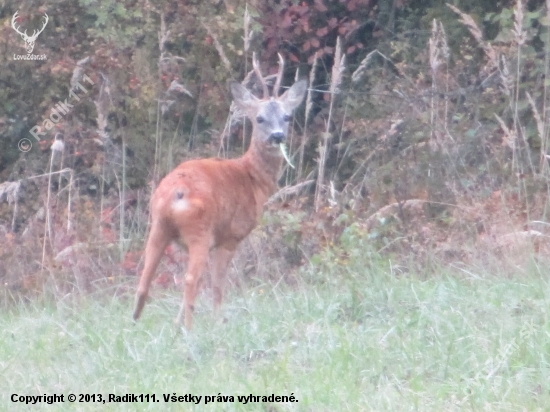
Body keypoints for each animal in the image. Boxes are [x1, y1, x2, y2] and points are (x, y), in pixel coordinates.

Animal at [132, 55, 308, 332]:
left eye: (287, 116)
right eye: (259, 118)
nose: (277, 136)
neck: (252, 178)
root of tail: (175, 193)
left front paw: (176, 323)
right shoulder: (230, 237)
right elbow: (217, 285)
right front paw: (217, 322)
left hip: (158, 226)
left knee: (144, 280)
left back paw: (137, 324)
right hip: (200, 231)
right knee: (190, 279)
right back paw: (190, 329)